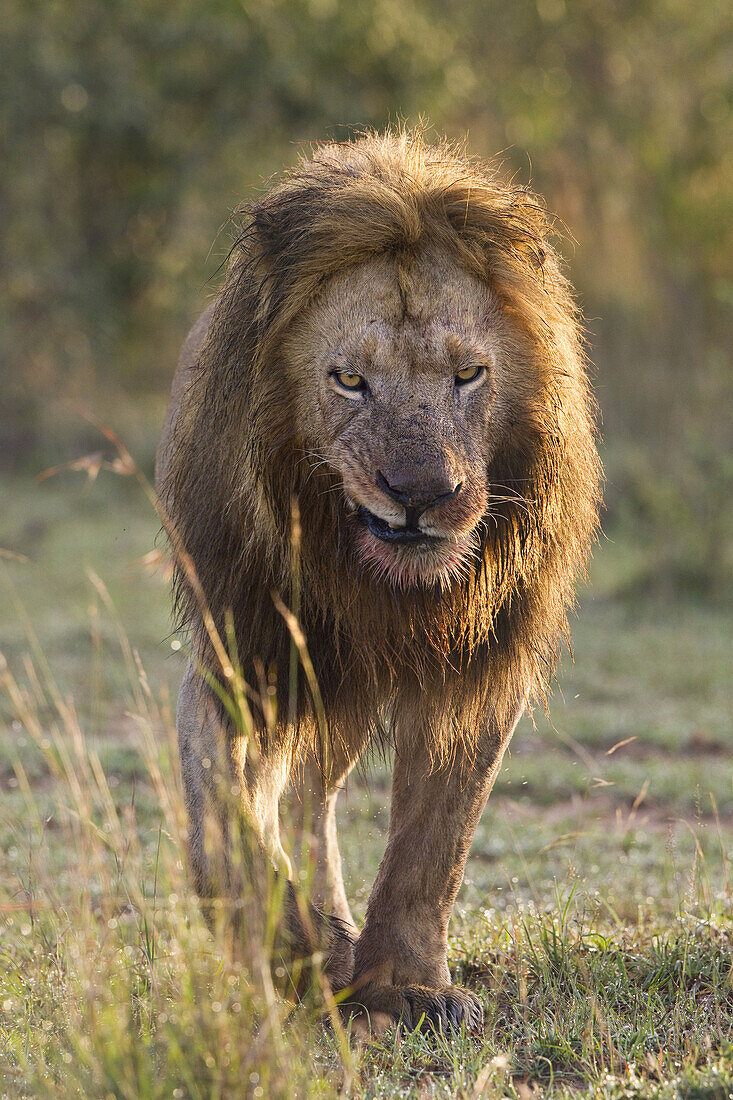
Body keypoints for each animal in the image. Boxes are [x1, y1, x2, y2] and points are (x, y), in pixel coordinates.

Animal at [155, 133, 598, 1034]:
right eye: (349, 380)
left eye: (467, 375)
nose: (420, 494)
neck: (379, 591)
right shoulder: (238, 652)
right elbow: (221, 812)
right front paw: (290, 944)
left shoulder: (478, 668)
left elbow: (434, 843)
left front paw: (406, 983)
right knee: (283, 792)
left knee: (311, 793)